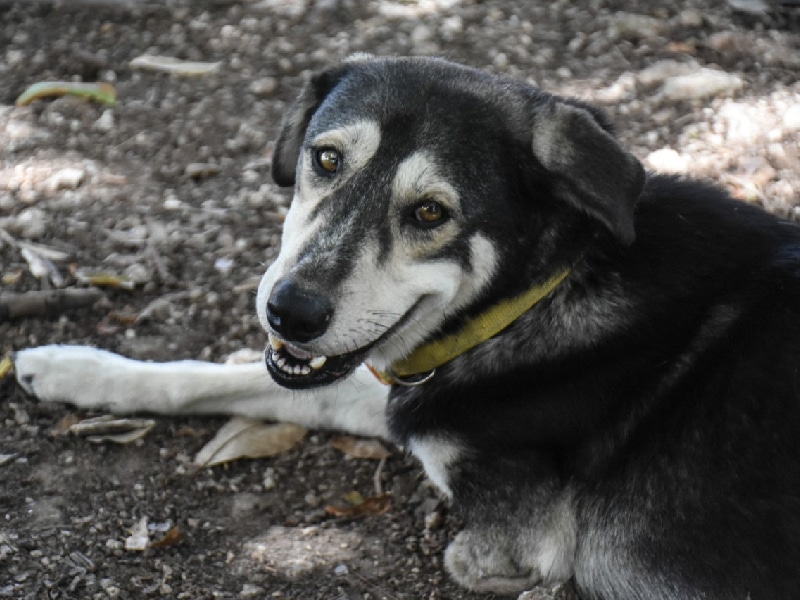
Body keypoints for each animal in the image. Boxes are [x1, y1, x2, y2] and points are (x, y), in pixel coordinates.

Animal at [10, 55, 800, 596]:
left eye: (430, 212)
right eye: (326, 158)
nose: (290, 311)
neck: (538, 293)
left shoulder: (520, 541)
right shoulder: (402, 387)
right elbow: (232, 379)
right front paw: (76, 368)